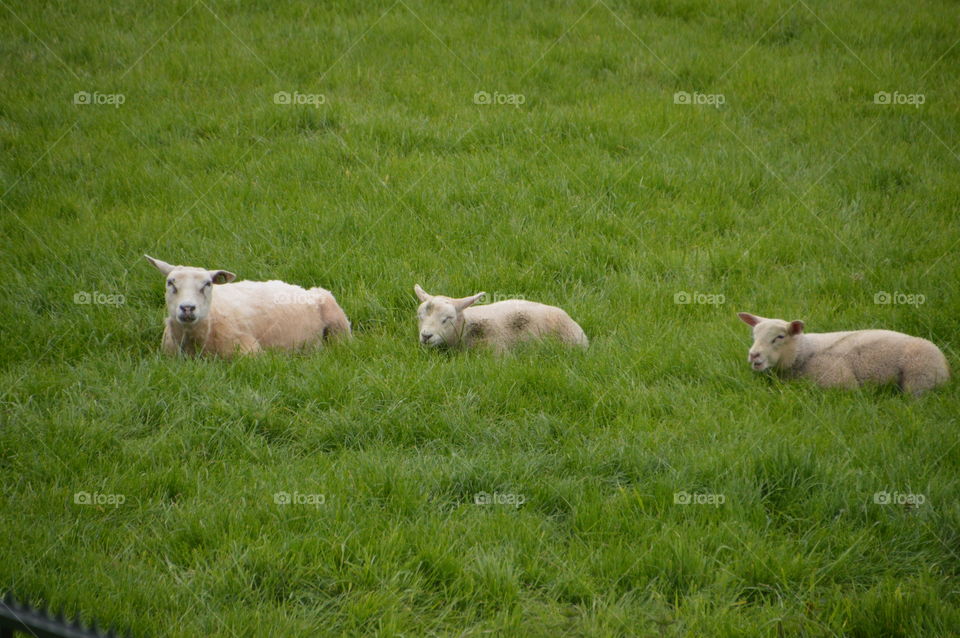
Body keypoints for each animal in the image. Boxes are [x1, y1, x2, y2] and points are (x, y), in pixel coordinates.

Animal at [737, 312, 949, 396]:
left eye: (779, 337)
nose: (754, 355)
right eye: (754, 335)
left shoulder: (841, 382)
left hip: (919, 376)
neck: (803, 354)